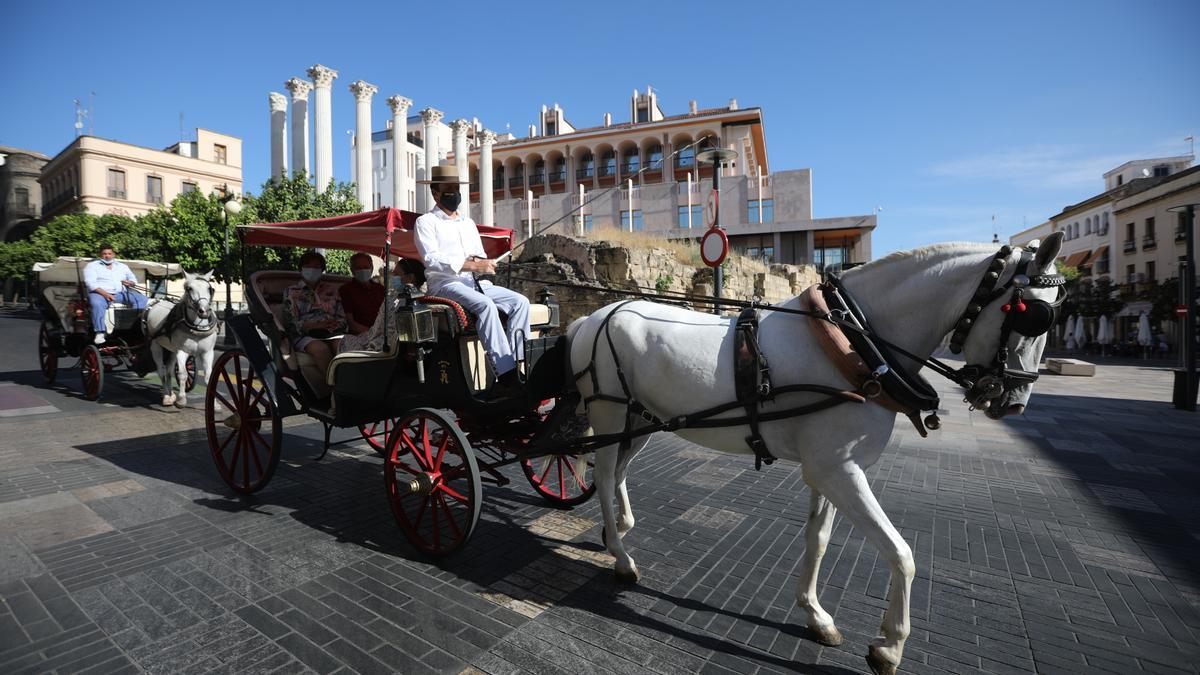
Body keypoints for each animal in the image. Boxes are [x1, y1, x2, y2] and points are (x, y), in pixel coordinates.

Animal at [145, 269, 220, 403]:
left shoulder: (207, 352)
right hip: (155, 345)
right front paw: (182, 399)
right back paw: (166, 396)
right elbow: (183, 374)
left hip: (171, 350)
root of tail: (156, 302)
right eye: (189, 288)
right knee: (161, 371)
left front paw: (215, 404)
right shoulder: (182, 351)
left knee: (169, 371)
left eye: (210, 288)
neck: (197, 328)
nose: (204, 311)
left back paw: (171, 394)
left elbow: (209, 376)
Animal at [566, 233, 1065, 672]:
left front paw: (815, 614)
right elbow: (901, 554)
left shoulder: (831, 471)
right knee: (605, 477)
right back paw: (622, 559)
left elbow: (818, 539)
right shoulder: (840, 471)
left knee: (620, 470)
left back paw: (618, 531)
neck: (857, 345)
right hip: (610, 414)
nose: (1014, 402)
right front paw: (889, 647)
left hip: (643, 420)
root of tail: (592, 317)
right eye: (1033, 315)